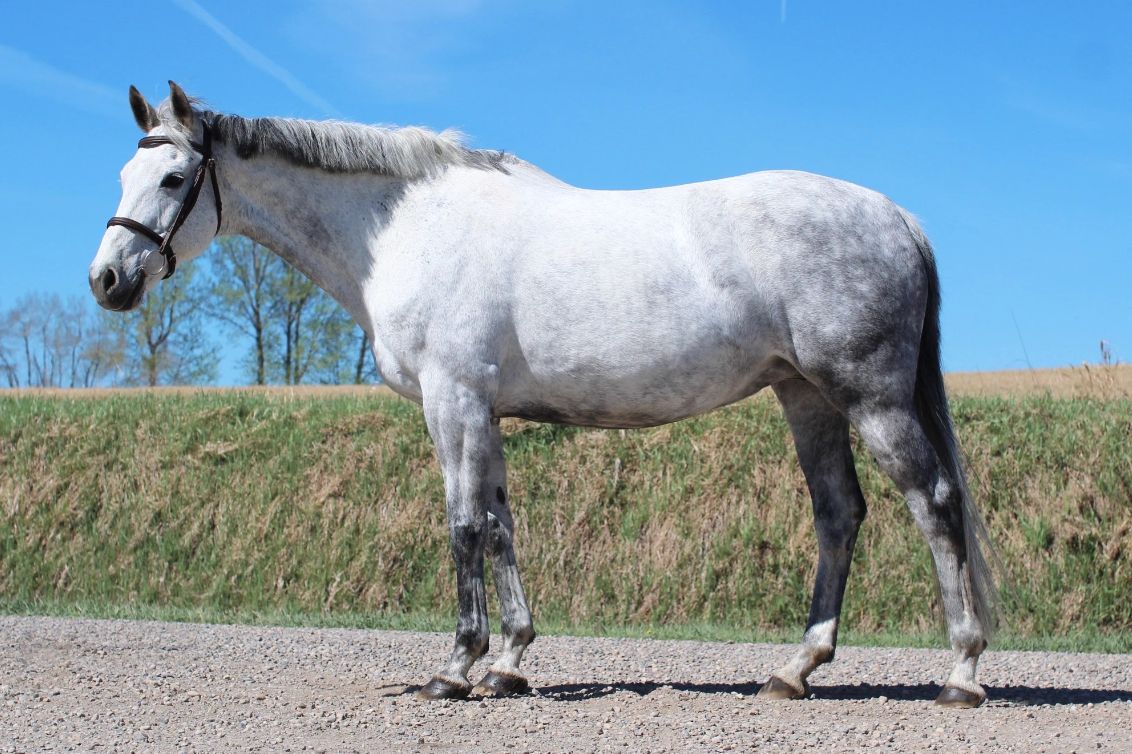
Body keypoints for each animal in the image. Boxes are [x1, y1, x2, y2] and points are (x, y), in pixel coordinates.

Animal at [90, 81, 998, 708]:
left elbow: (462, 527)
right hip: (805, 397)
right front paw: (509, 662)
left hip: (870, 397)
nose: (107, 280)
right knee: (839, 515)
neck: (407, 229)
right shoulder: (483, 412)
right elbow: (500, 526)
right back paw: (794, 669)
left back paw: (961, 669)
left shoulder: (452, 401)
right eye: (125, 168)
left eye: (172, 177)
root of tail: (897, 217)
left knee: (934, 502)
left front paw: (456, 667)